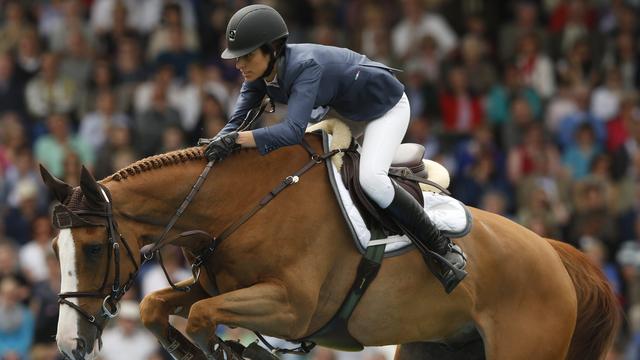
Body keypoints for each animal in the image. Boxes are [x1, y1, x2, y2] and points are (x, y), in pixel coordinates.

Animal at [41, 133, 620, 360]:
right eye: (54, 250)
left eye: (92, 250)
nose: (69, 343)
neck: (242, 203)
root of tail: (555, 253)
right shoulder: (215, 283)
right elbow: (155, 305)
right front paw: (189, 347)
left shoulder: (293, 308)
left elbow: (204, 315)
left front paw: (228, 350)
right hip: (435, 345)